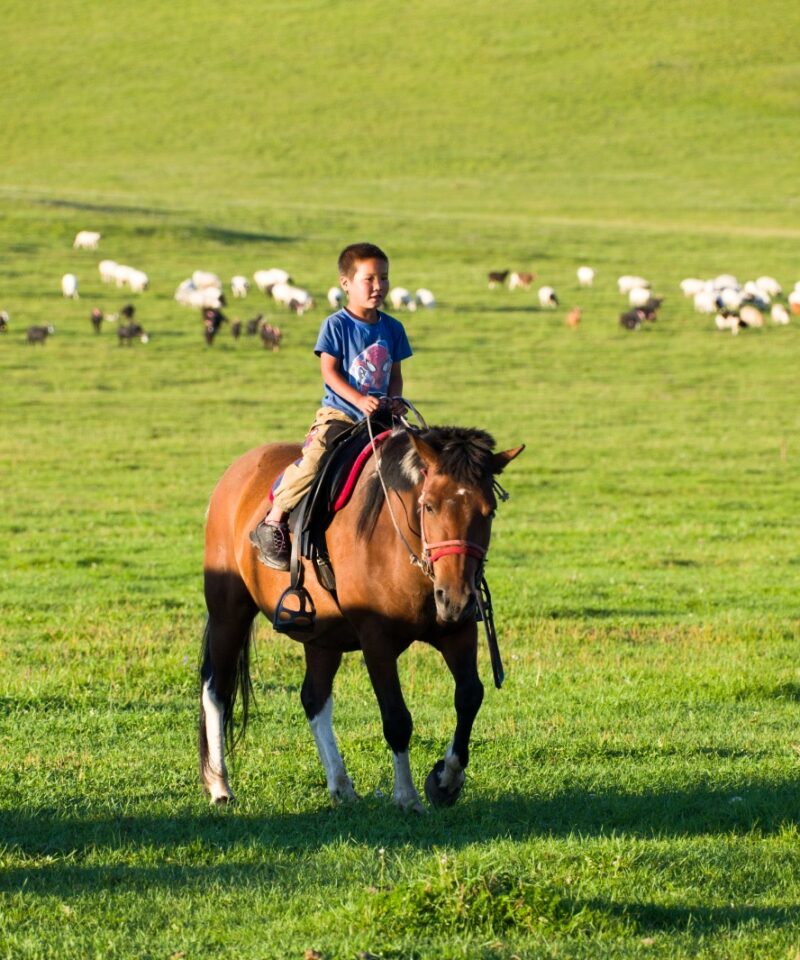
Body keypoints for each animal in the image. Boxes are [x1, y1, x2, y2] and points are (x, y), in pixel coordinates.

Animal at [199, 419, 523, 812]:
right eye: (429, 506)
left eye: (488, 511)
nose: (456, 597)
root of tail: (236, 474)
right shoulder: (376, 640)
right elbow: (397, 718)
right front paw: (407, 796)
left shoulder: (457, 631)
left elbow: (470, 696)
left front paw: (445, 781)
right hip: (228, 613)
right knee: (216, 690)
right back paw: (220, 786)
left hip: (321, 635)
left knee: (314, 698)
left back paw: (341, 786)